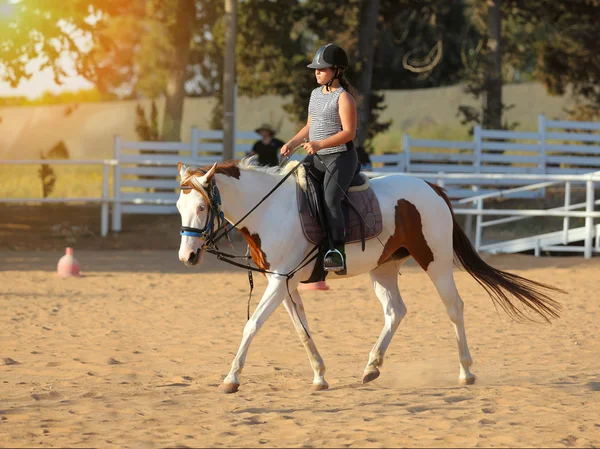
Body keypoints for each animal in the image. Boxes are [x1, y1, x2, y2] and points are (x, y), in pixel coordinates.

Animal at [175, 157, 564, 392]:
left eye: (202, 206)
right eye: (179, 206)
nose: (187, 257)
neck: (269, 209)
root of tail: (431, 187)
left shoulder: (278, 280)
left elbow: (252, 324)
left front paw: (231, 377)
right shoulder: (284, 281)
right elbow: (302, 330)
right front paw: (319, 375)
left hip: (436, 261)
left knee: (454, 307)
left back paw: (466, 371)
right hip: (384, 267)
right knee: (395, 311)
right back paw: (372, 366)